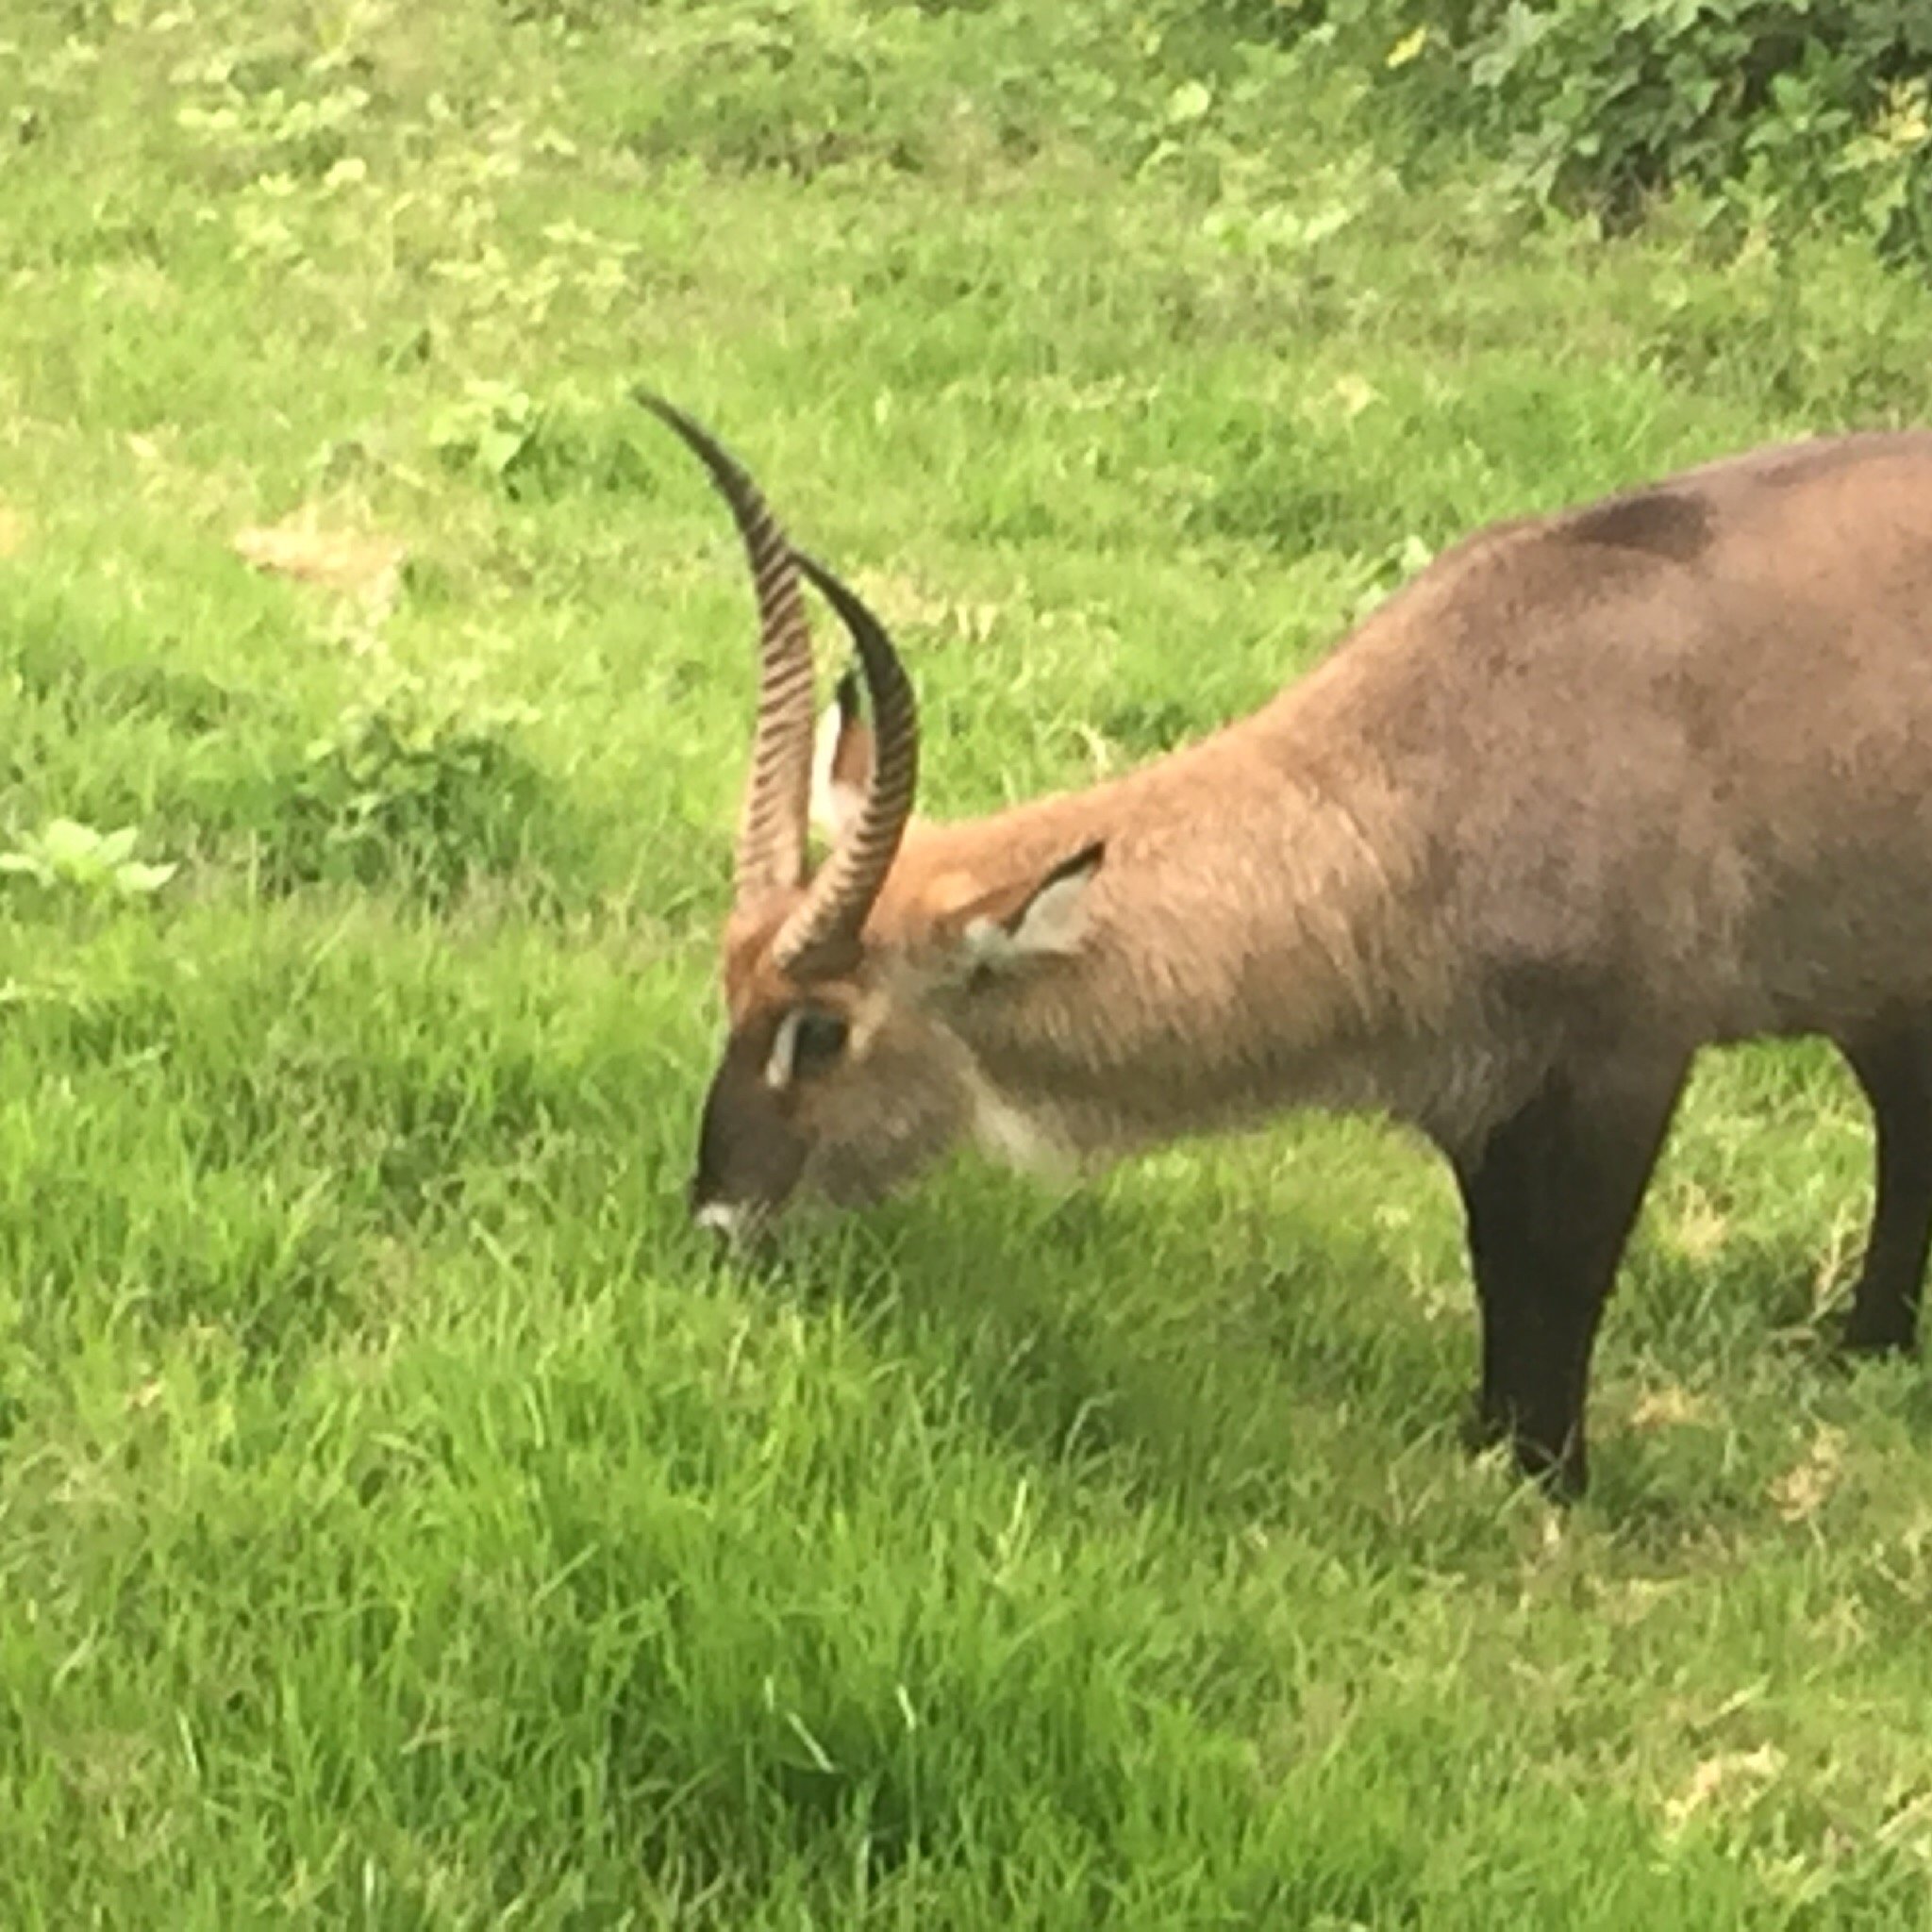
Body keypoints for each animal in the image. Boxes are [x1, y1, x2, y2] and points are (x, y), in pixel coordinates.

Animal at [645, 392, 1932, 1500]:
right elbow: (1501, 1278)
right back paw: (1861, 1352)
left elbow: (1558, 1284)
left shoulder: (1620, 1070)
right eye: (728, 989)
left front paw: (1550, 1484)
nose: (716, 1224)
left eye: (820, 1029)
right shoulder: (1482, 1109)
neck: (1431, 777)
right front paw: (1494, 1455)